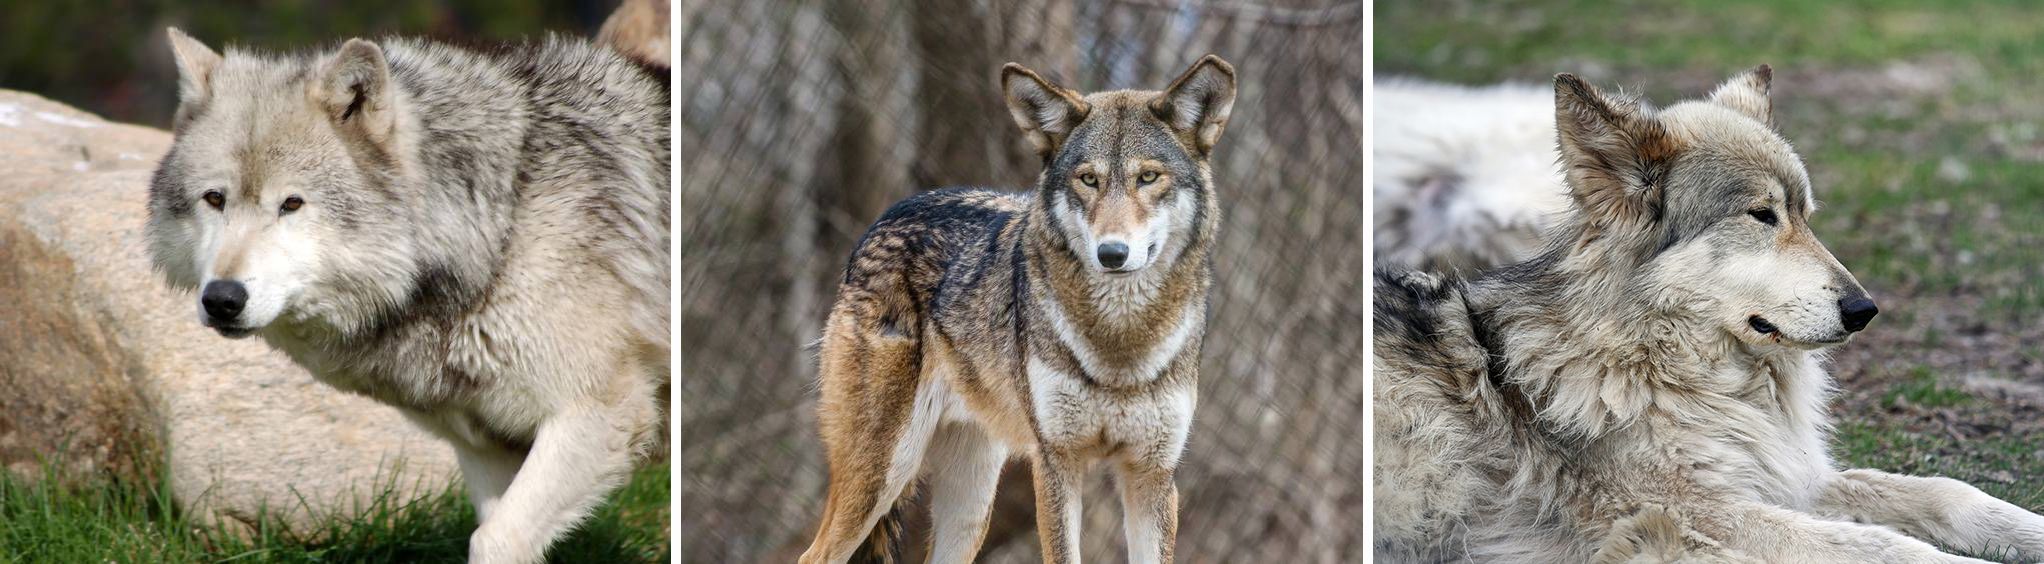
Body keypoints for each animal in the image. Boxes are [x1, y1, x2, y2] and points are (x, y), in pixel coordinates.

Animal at [146, 27, 670, 564]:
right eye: (215, 199)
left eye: (292, 204)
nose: (222, 299)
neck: (502, 230)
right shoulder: (487, 445)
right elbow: (496, 526)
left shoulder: (598, 413)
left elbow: (494, 537)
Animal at [797, 53, 1234, 564]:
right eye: (1088, 179)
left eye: (1148, 177)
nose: (1112, 253)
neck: (1120, 342)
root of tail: (883, 220)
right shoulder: (1056, 464)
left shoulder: (1153, 475)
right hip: (884, 472)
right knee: (812, 555)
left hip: (969, 507)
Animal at [1365, 67, 2043, 564]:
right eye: (1762, 216)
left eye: (1806, 216)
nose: (1865, 310)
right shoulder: (1702, 517)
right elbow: (1886, 546)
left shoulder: (1778, 477)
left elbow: (1946, 492)